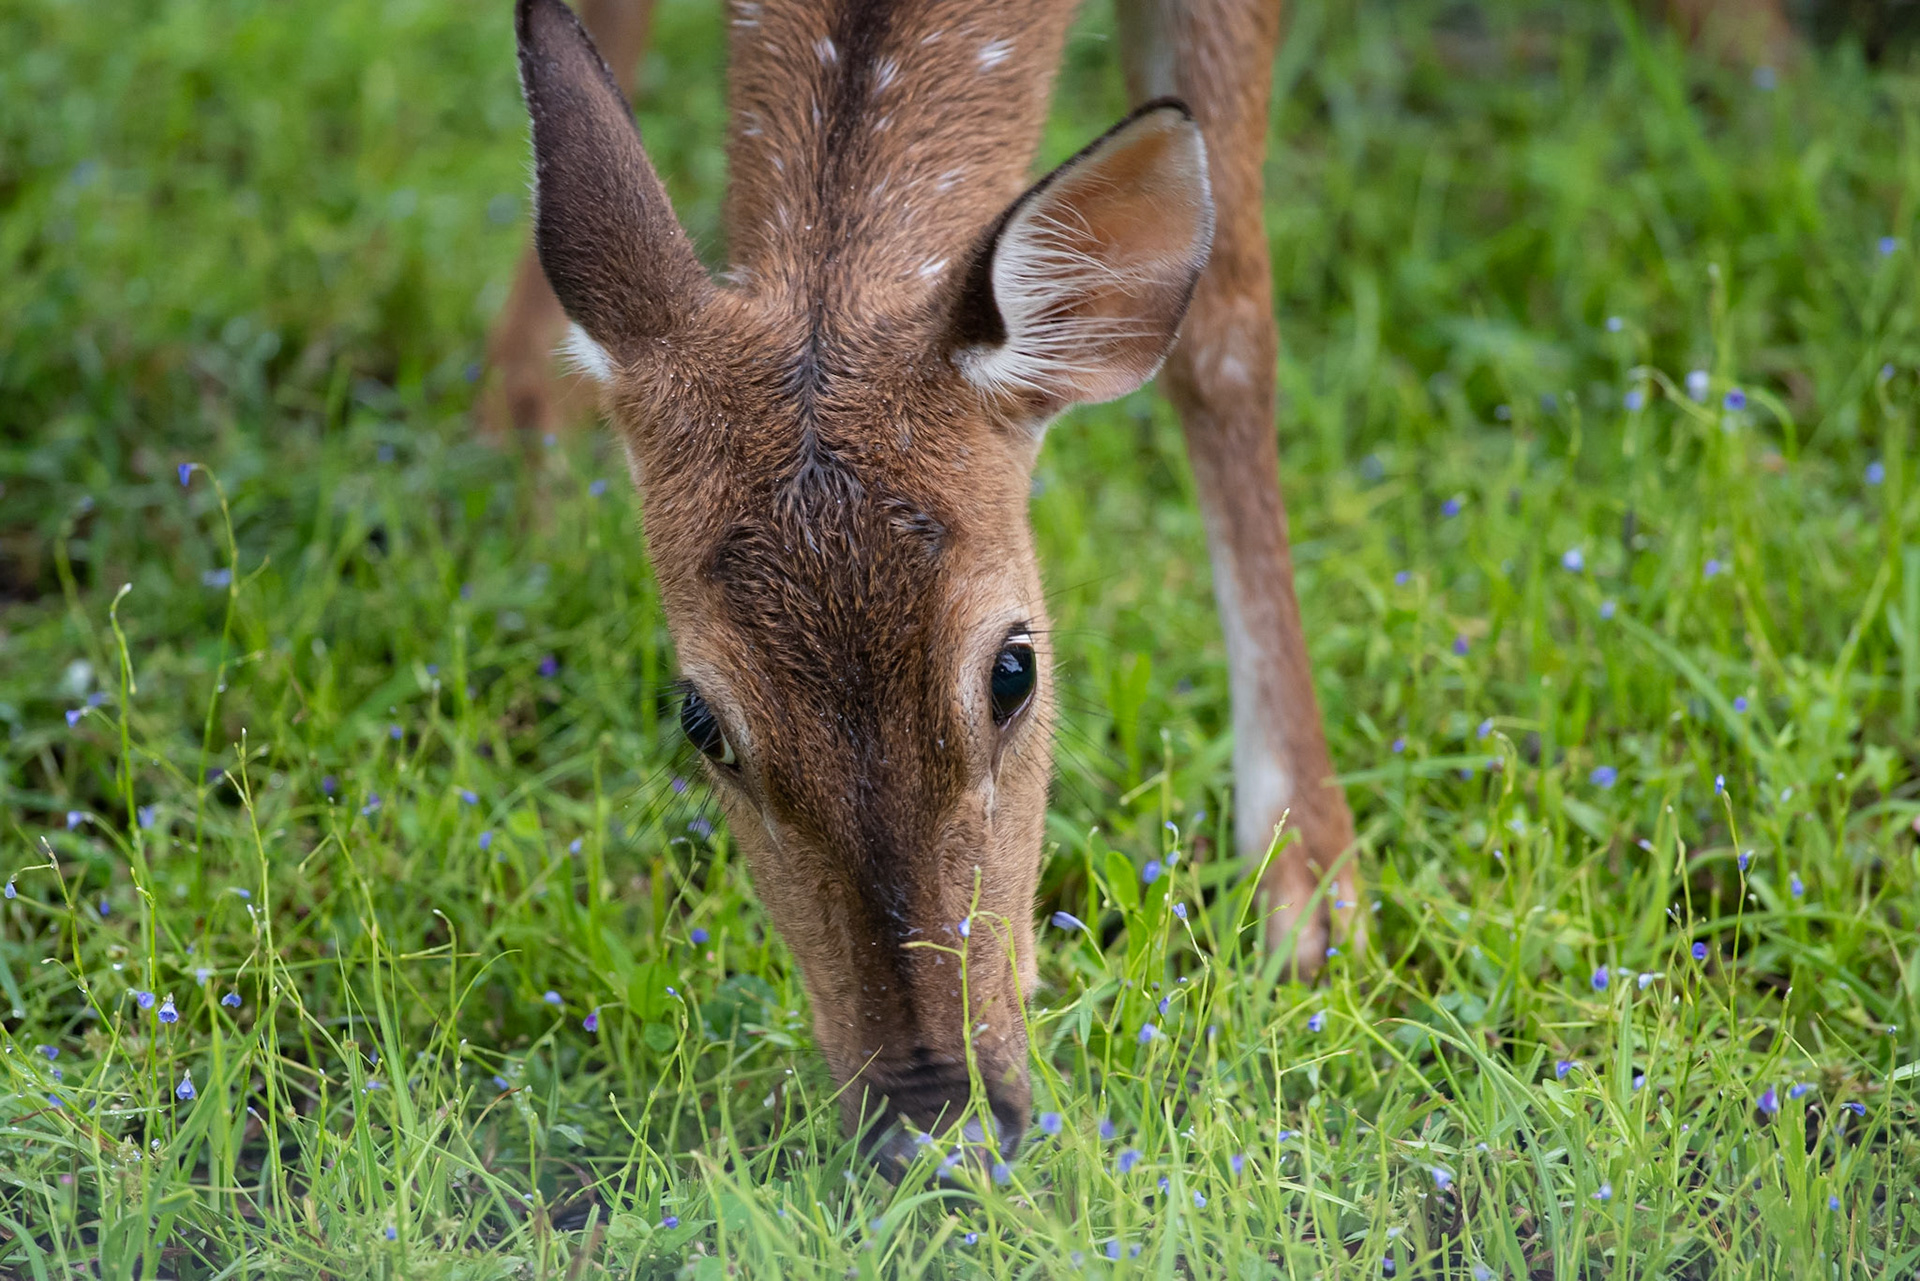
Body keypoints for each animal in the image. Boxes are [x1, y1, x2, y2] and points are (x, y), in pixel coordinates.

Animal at [503, 0, 1791, 1168]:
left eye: (1014, 669)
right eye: (701, 720)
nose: (938, 1127)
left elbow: (1227, 324)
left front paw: (1312, 893)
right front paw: (526, 453)